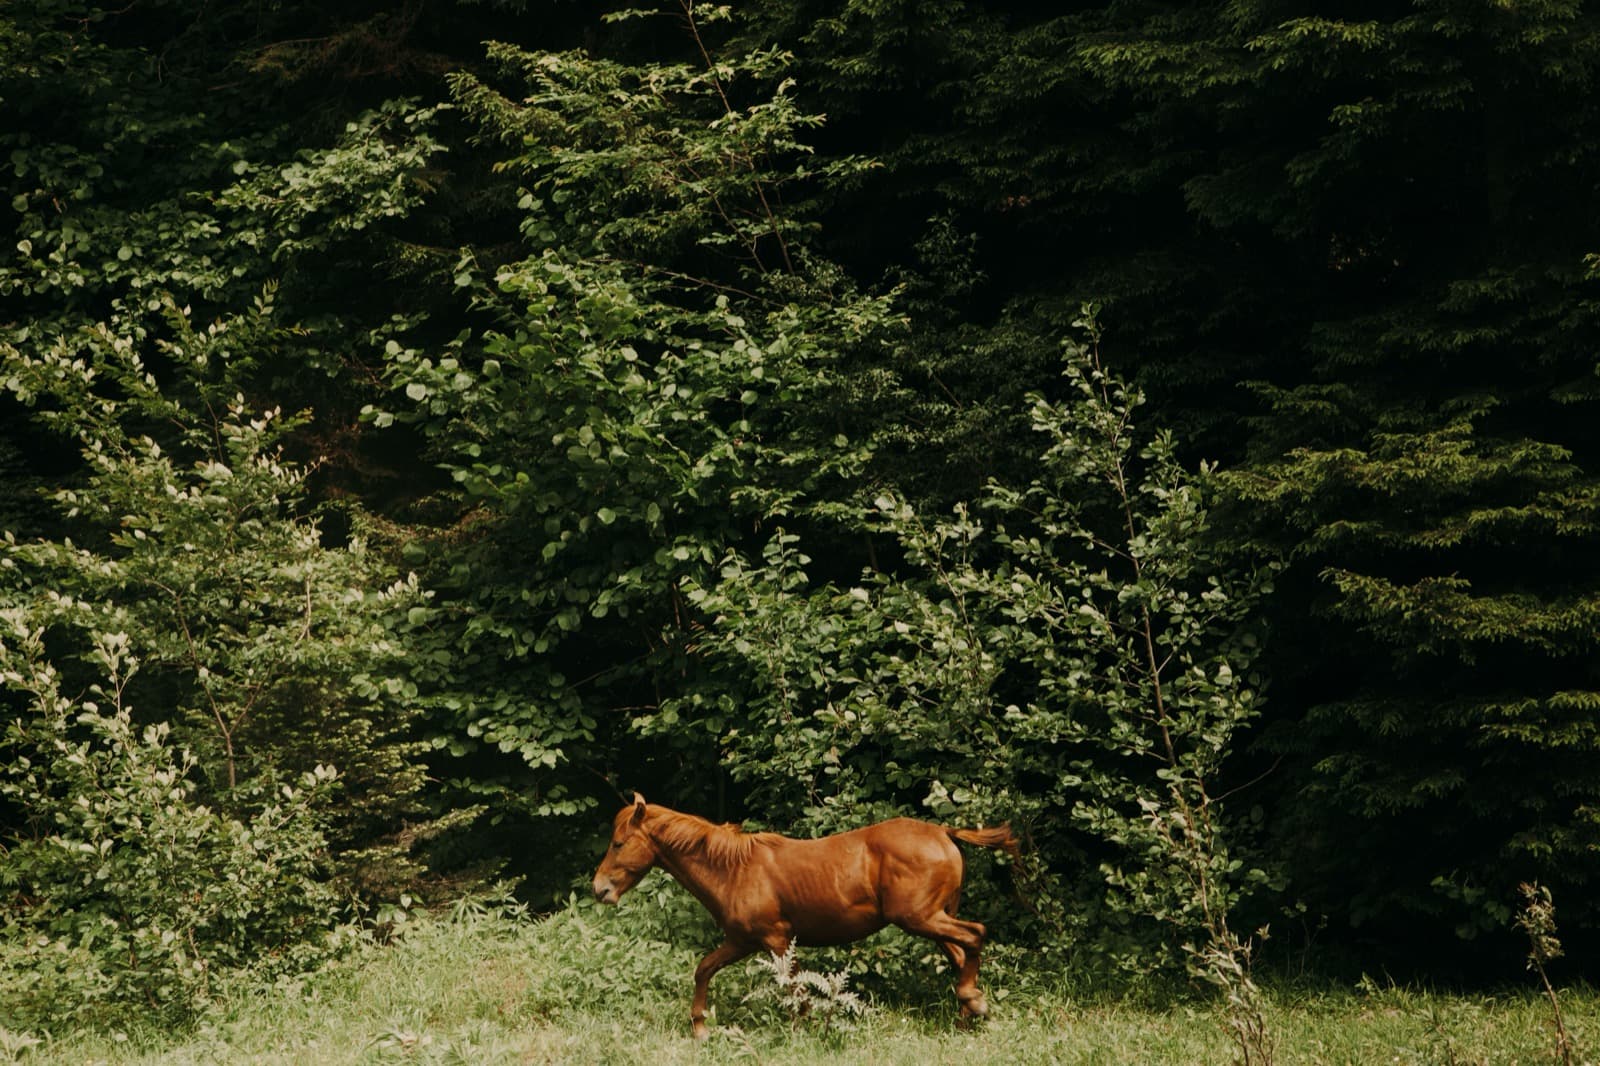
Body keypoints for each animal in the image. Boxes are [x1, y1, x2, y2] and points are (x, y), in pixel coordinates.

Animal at [591, 792, 1020, 1040]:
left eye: (619, 843)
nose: (599, 890)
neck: (734, 870)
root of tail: (944, 833)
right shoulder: (742, 942)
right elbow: (704, 969)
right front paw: (699, 1029)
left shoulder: (775, 940)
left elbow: (793, 989)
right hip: (932, 920)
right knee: (963, 953)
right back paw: (968, 1017)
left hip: (921, 918)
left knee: (975, 934)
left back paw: (973, 1004)